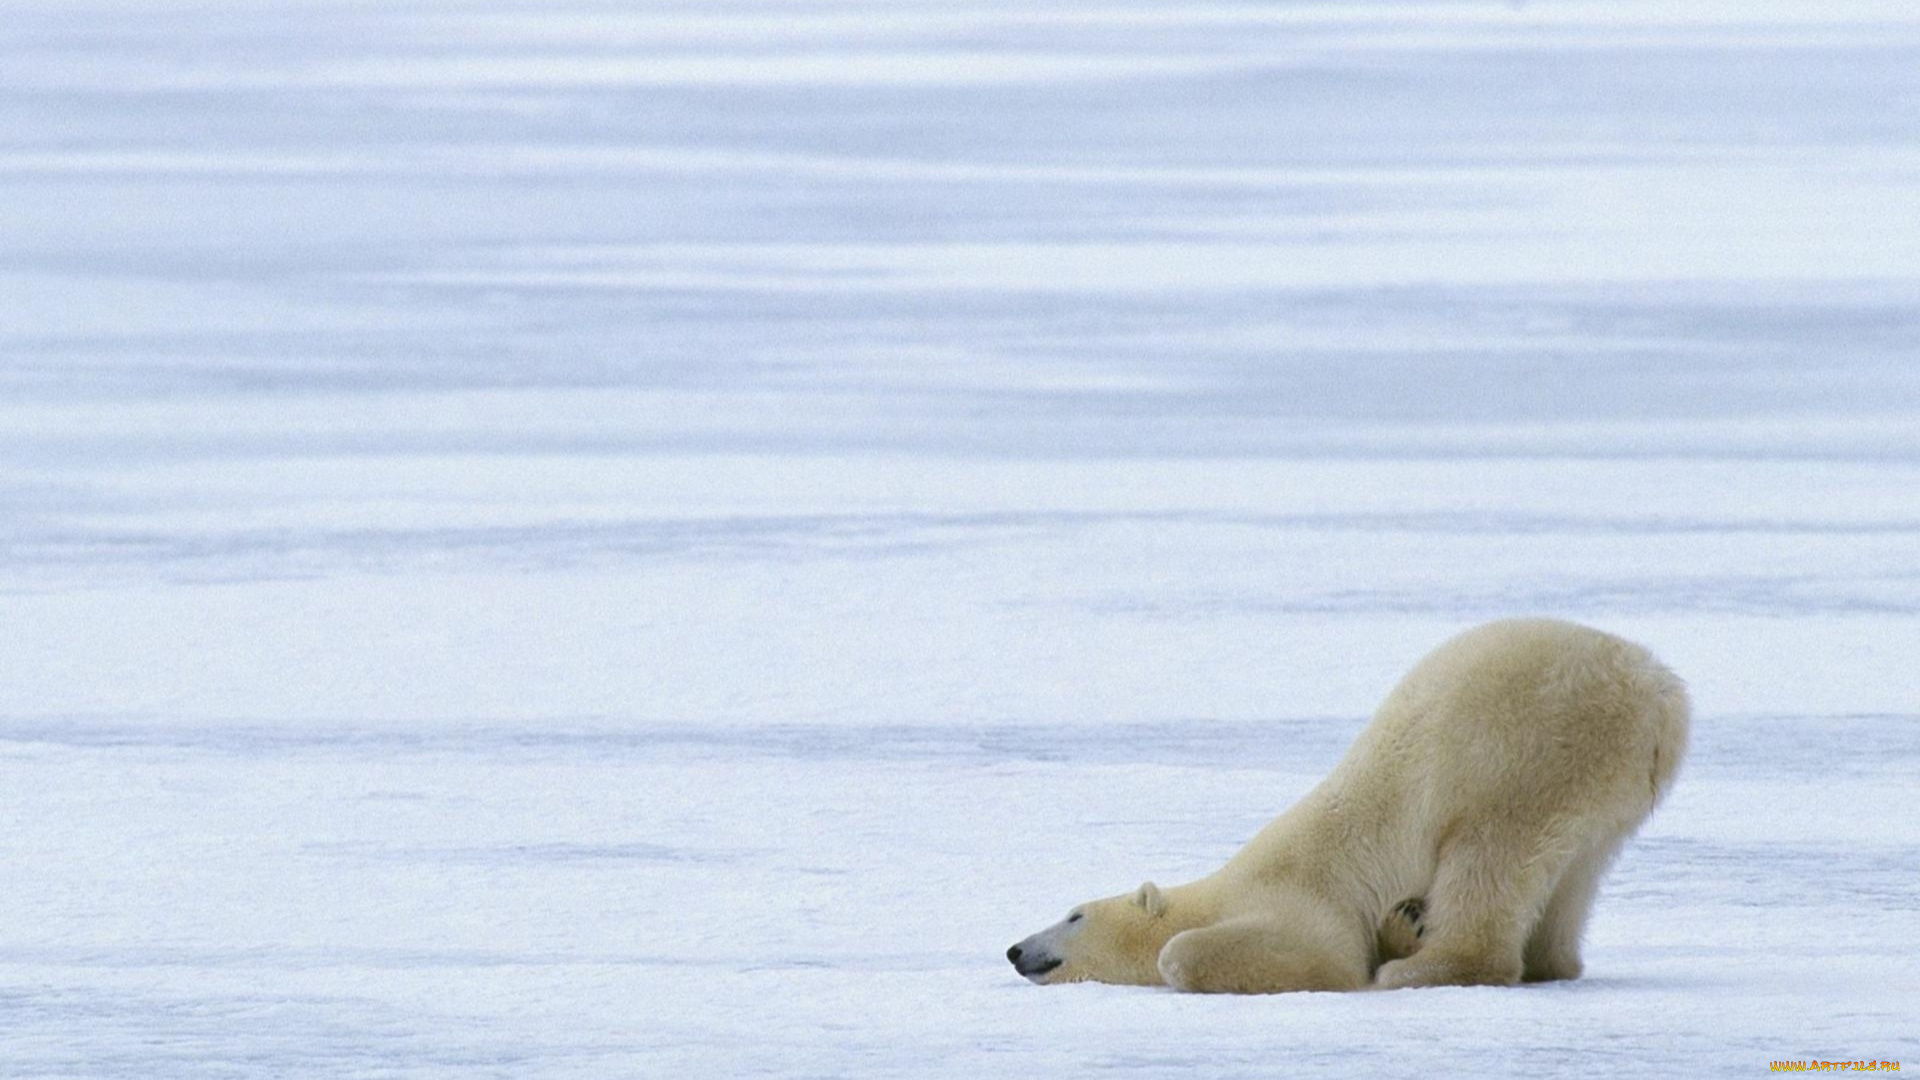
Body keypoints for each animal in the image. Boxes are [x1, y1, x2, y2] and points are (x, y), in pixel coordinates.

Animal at [1013, 614, 1689, 991]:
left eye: (1073, 914)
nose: (1016, 949)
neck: (1222, 890)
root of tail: (1658, 693)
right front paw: (1402, 925)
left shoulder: (1299, 898)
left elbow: (1299, 955)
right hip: (1607, 786)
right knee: (1574, 875)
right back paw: (1546, 959)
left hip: (1526, 751)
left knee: (1489, 856)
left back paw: (1425, 970)